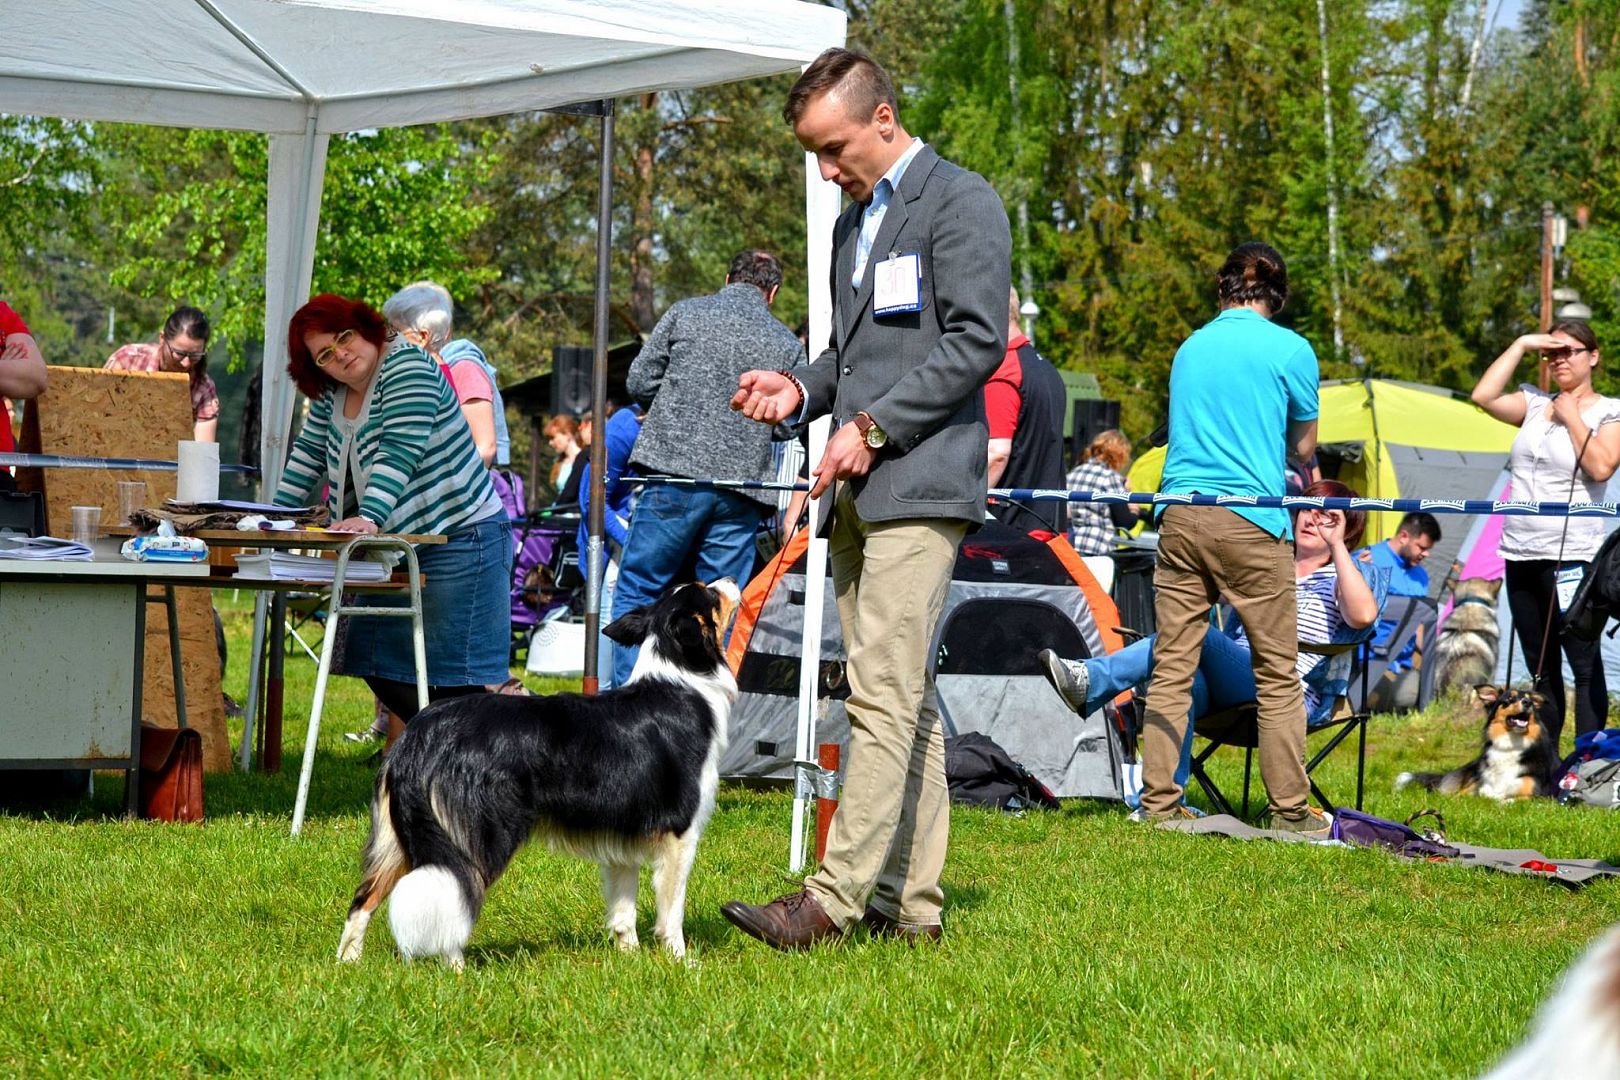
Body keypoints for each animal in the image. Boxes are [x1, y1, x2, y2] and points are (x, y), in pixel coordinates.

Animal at [341, 579, 745, 965]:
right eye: (709, 592)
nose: (730, 579)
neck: (682, 676)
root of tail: (417, 736)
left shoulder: (623, 832)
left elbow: (623, 911)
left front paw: (629, 958)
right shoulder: (680, 833)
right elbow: (672, 911)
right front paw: (681, 961)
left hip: (397, 839)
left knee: (363, 898)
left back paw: (348, 962)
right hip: (479, 835)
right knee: (455, 893)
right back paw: (456, 968)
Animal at [1393, 683, 1555, 803]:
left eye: (1531, 701)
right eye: (1509, 699)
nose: (1527, 703)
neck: (1511, 746)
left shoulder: (1536, 795)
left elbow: (1507, 800)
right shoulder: (1477, 786)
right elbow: (1464, 796)